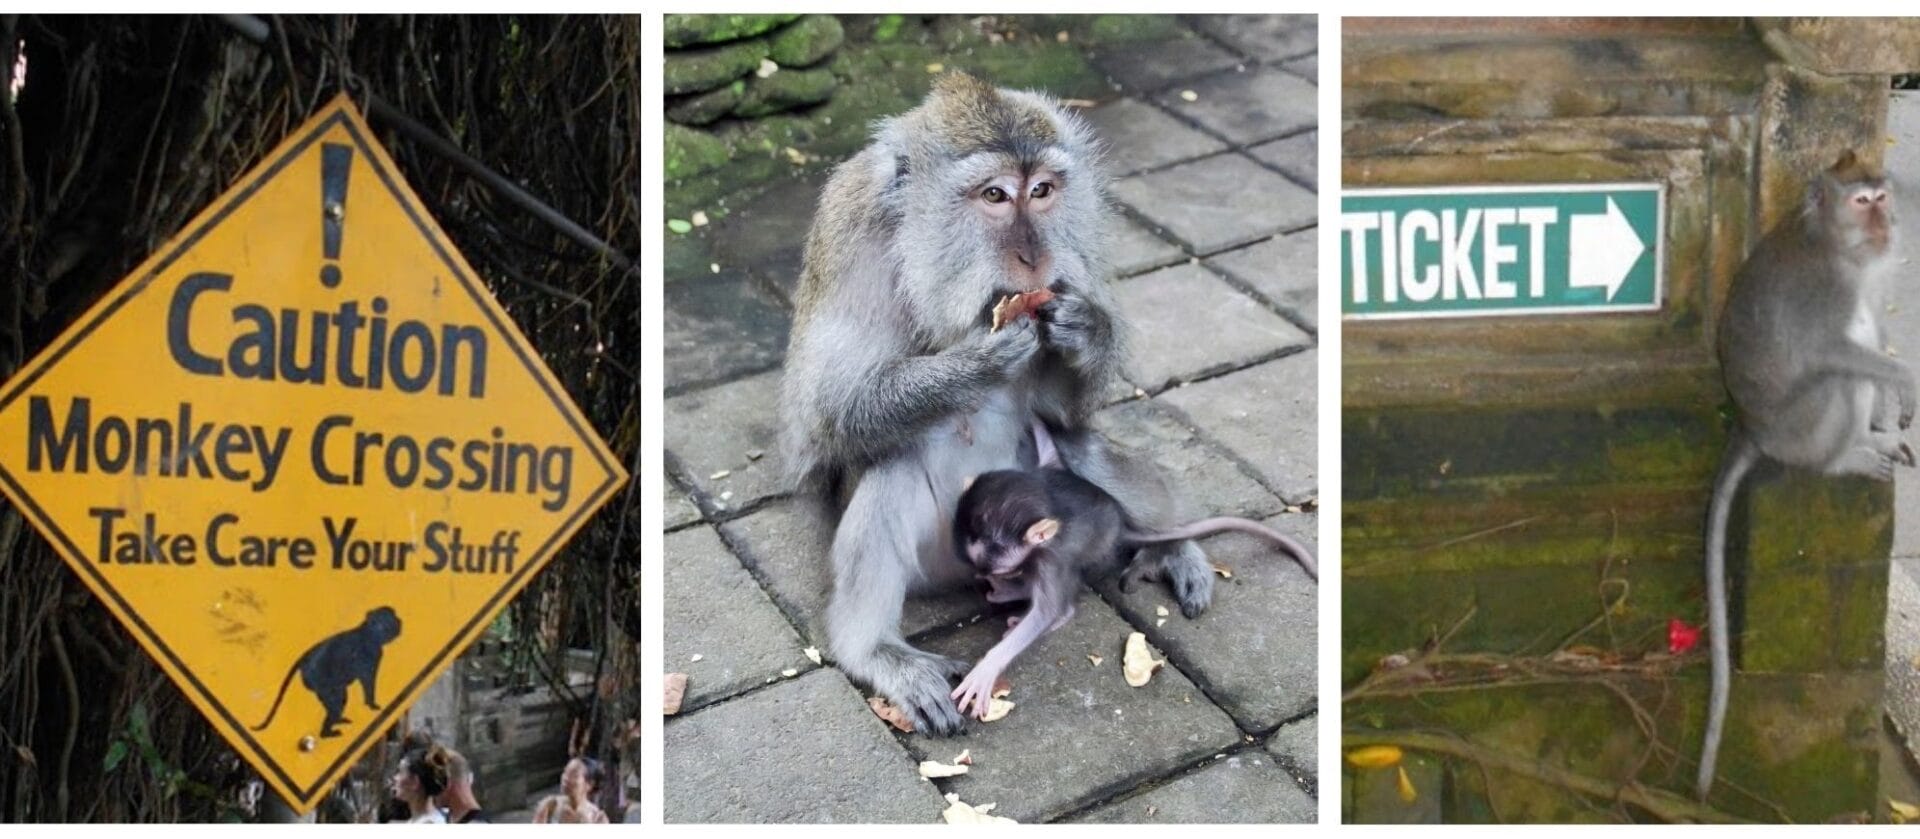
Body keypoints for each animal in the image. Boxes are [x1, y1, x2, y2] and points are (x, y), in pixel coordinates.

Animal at [253, 606, 402, 737]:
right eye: (382, 621)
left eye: (391, 617)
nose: (396, 624)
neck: (368, 633)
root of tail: (305, 658)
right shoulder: (369, 656)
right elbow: (368, 680)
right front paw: (371, 704)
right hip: (318, 680)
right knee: (336, 700)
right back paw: (327, 732)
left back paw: (337, 721)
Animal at [776, 73, 1218, 736]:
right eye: (994, 195)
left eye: (1041, 191)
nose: (1034, 258)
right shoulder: (851, 235)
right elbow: (829, 411)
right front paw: (979, 360)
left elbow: (1064, 410)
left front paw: (1087, 330)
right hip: (941, 558)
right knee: (890, 467)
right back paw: (874, 650)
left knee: (1079, 447)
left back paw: (1174, 544)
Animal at [947, 420, 1317, 718]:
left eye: (991, 554)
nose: (982, 570)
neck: (1045, 498)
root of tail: (1119, 522)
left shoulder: (1051, 554)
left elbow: (1046, 610)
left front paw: (987, 668)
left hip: (1086, 549)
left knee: (1060, 592)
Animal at [1696, 150, 1915, 800]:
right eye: (1861, 202)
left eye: (1880, 197)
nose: (1884, 224)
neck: (1839, 246)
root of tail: (1751, 427)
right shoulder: (1827, 289)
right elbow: (1830, 350)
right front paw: (1906, 380)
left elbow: (1877, 330)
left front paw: (1894, 391)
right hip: (1800, 429)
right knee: (1838, 376)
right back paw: (1847, 456)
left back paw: (1876, 434)